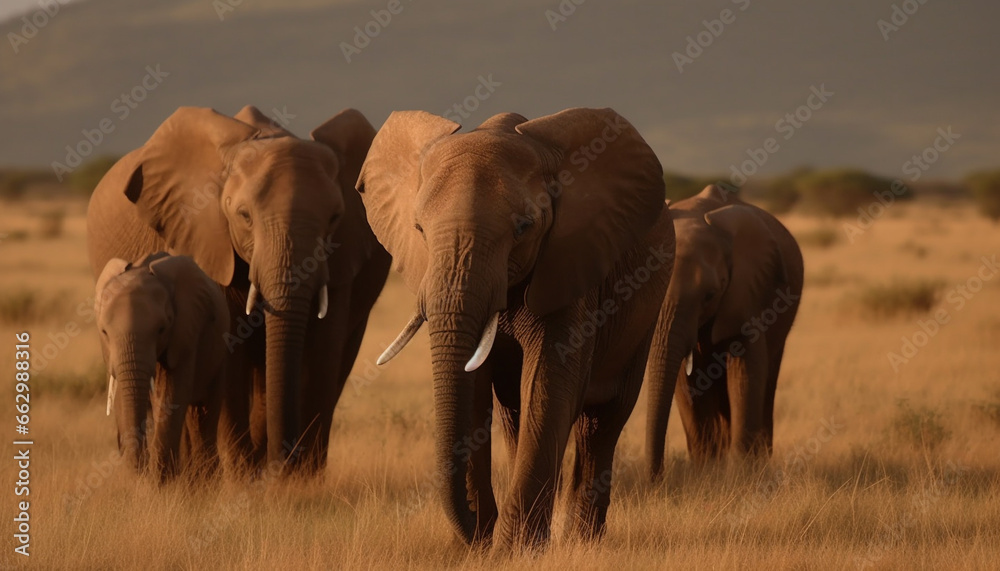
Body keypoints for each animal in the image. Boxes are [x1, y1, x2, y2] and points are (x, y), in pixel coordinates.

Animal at [96, 252, 230, 480]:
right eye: (104, 332)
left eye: (161, 329)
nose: (140, 471)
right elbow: (122, 396)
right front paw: (138, 481)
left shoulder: (186, 333)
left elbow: (172, 392)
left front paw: (160, 483)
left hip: (220, 352)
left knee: (203, 413)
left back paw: (206, 481)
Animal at [356, 108, 676, 548]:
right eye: (419, 229)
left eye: (524, 227)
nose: (474, 527)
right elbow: (474, 389)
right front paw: (478, 547)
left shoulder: (571, 265)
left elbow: (547, 382)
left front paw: (513, 550)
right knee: (514, 416)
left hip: (646, 311)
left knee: (603, 421)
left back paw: (582, 540)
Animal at [644, 185, 808, 476]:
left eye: (710, 295)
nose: (656, 479)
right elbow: (686, 382)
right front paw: (704, 470)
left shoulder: (748, 292)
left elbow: (745, 373)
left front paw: (740, 472)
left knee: (767, 381)